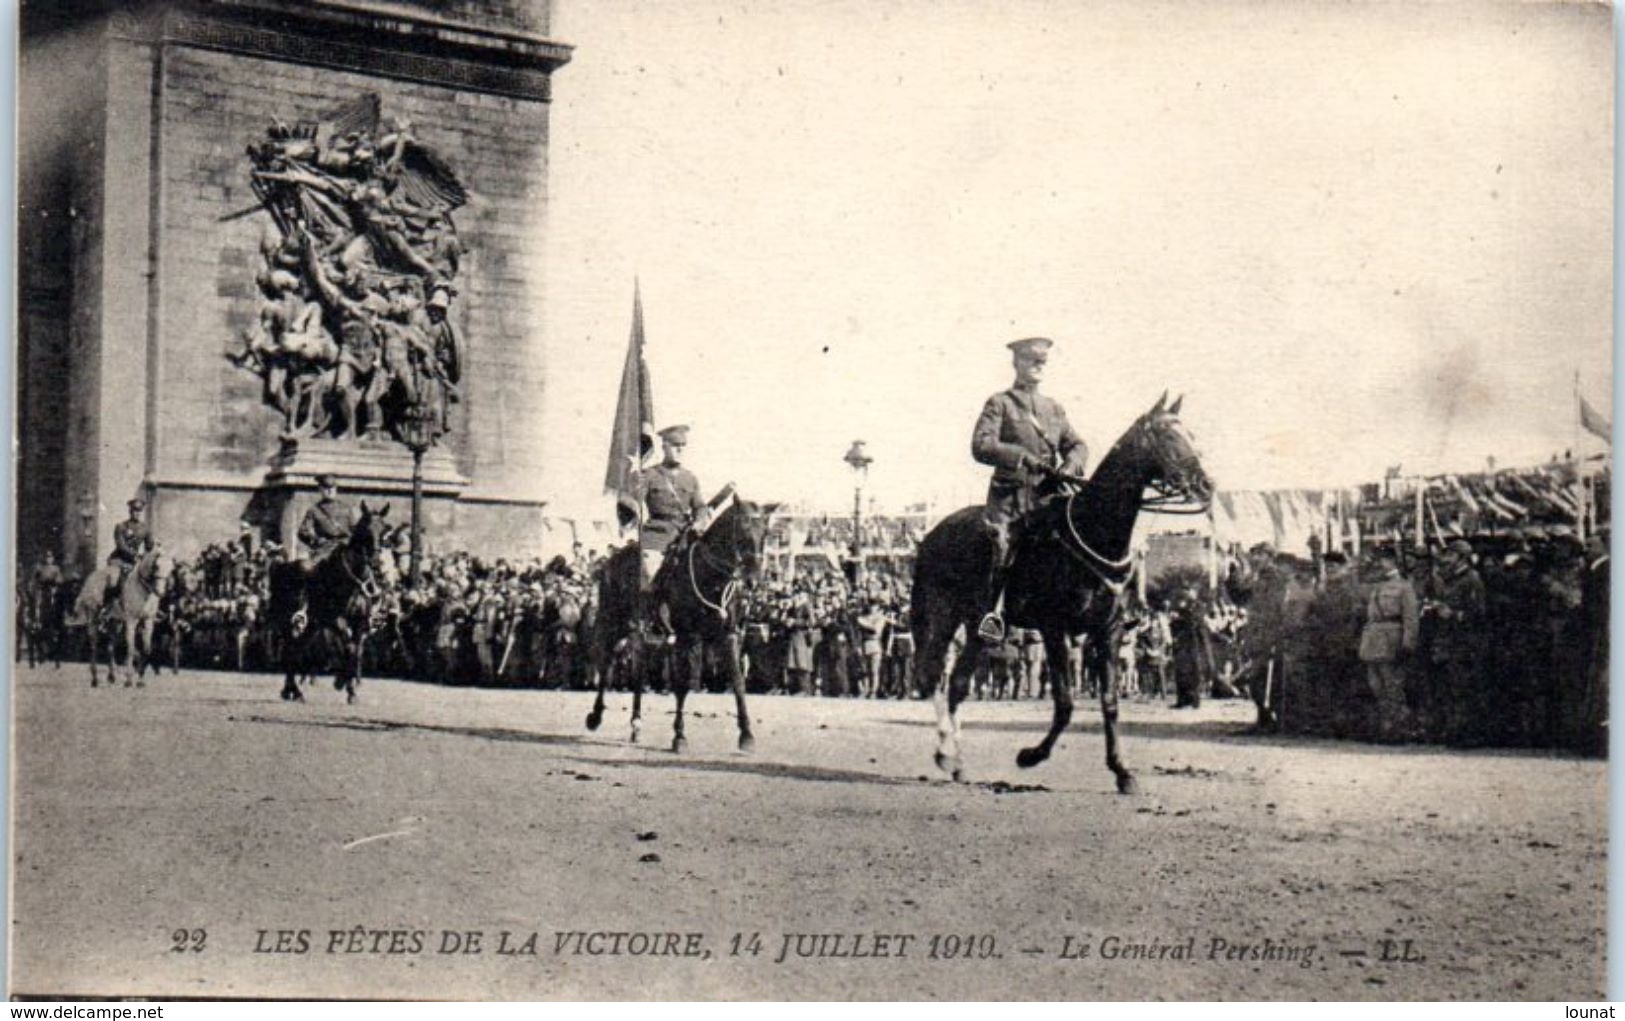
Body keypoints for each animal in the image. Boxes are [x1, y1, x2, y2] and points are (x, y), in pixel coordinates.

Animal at [268, 500, 394, 702]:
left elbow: (355, 651)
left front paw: (351, 688)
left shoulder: (360, 624)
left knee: (297, 649)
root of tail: (279, 566)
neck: (352, 580)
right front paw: (341, 682)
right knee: (289, 650)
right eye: (365, 530)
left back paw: (293, 691)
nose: (376, 563)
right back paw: (292, 690)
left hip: (310, 626)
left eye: (384, 530)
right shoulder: (336, 621)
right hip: (287, 621)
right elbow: (347, 647)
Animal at [588, 490, 776, 754]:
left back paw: (636, 724)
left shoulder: (729, 635)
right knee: (606, 664)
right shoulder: (687, 637)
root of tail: (612, 559)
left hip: (641, 632)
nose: (753, 581)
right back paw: (595, 716)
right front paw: (679, 735)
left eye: (766, 533)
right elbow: (682, 684)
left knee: (638, 670)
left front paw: (746, 734)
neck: (710, 576)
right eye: (743, 529)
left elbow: (738, 682)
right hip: (613, 622)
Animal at [916, 395, 1209, 793]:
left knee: (958, 683)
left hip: (976, 626)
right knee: (934, 674)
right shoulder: (1055, 629)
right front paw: (1031, 755)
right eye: (1168, 435)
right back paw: (946, 751)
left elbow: (1109, 701)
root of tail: (933, 533)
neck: (1092, 533)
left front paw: (1122, 770)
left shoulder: (1109, 631)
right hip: (944, 615)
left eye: (1190, 434)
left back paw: (958, 761)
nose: (1207, 486)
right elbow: (1066, 702)